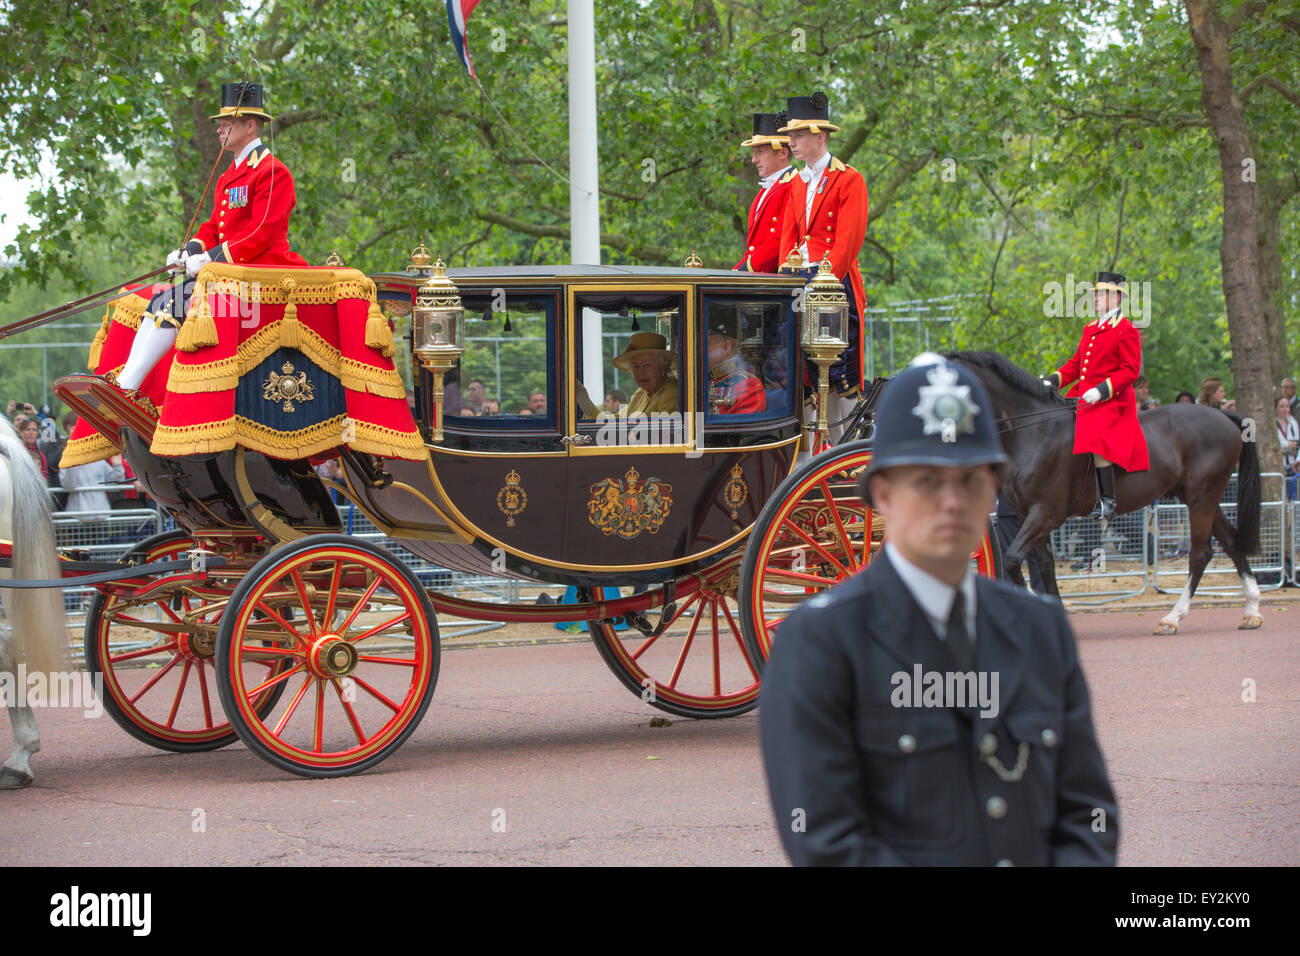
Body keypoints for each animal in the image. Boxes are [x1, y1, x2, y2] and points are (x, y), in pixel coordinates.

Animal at [946, 351, 1258, 634]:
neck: (1034, 432)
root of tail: (1222, 415)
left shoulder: (1046, 513)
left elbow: (1012, 560)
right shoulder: (1027, 514)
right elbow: (1045, 565)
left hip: (1202, 496)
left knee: (1200, 553)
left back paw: (1173, 618)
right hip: (1199, 497)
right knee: (1230, 543)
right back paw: (1252, 610)